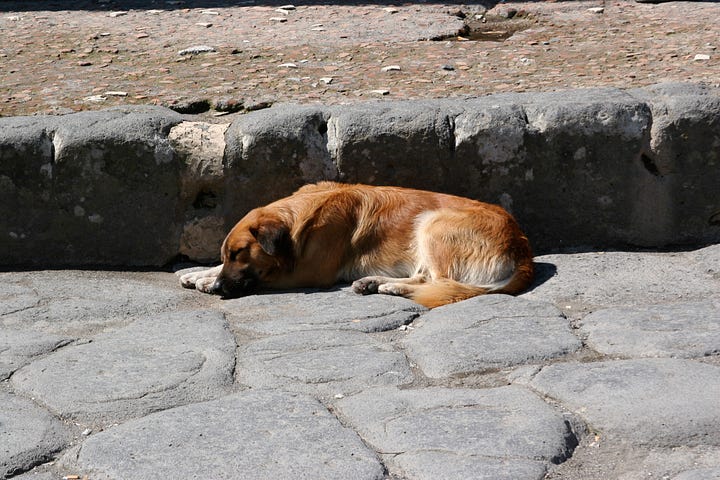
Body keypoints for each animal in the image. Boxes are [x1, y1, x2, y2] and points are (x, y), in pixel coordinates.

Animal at [179, 180, 532, 308]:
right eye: (228, 254)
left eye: (240, 253)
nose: (220, 287)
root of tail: (522, 247)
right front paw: (198, 273)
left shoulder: (306, 273)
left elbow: (264, 278)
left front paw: (208, 282)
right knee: (426, 278)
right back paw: (378, 283)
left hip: (433, 224)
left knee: (440, 282)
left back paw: (389, 286)